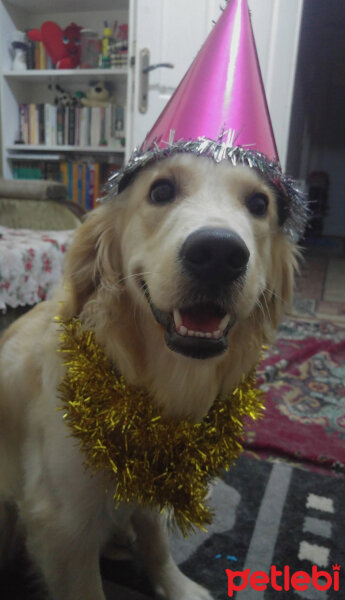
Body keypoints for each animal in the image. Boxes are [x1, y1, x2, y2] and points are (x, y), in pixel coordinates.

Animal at [0, 155, 298, 600]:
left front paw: (177, 586)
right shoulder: (62, 528)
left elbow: (156, 540)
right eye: (161, 191)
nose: (218, 253)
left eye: (259, 203)